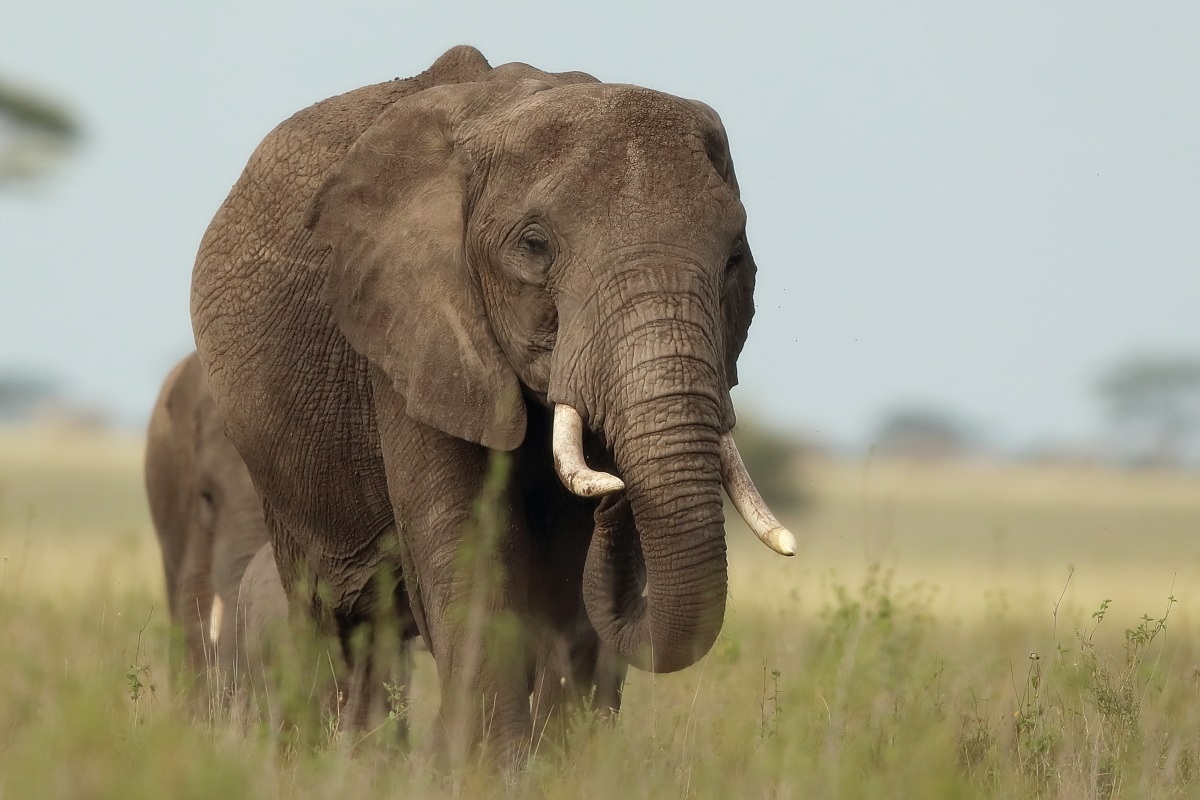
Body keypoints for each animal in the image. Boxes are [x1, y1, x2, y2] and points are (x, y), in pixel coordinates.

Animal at [189, 45, 796, 762]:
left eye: (735, 259)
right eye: (534, 246)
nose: (615, 493)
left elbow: (568, 598)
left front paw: (566, 767)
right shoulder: (413, 330)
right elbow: (469, 544)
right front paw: (487, 769)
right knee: (326, 614)